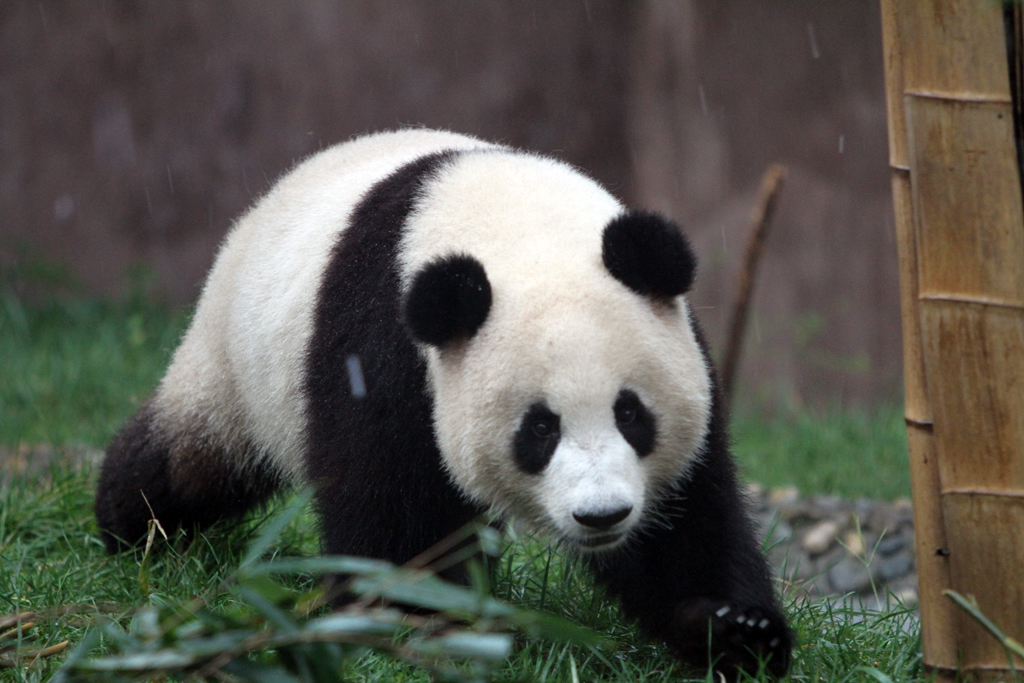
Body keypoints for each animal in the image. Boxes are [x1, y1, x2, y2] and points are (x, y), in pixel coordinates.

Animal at [95, 129, 792, 677]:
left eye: (632, 415)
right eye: (539, 429)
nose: (602, 516)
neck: (519, 229)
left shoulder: (684, 353)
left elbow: (688, 519)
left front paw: (735, 632)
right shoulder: (384, 347)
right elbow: (393, 505)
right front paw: (411, 620)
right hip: (241, 367)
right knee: (190, 459)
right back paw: (131, 530)